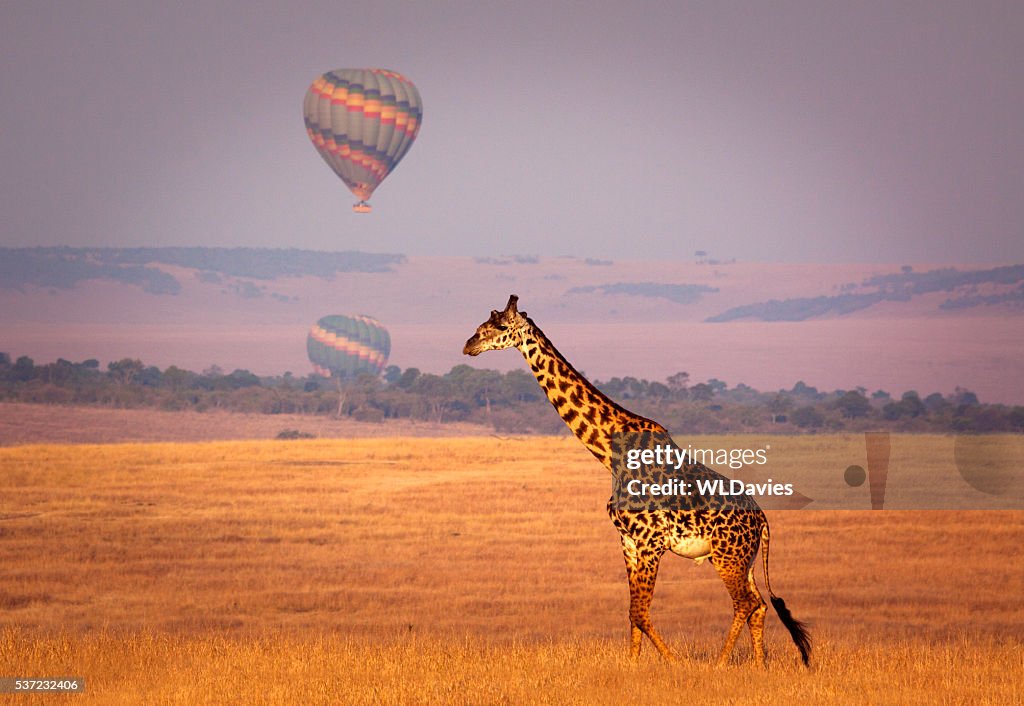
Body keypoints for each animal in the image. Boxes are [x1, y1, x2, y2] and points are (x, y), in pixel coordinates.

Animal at [462, 295, 806, 668]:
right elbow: (632, 613)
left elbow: (640, 612)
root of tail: (763, 520)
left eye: (498, 326)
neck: (611, 452)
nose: (469, 345)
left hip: (727, 556)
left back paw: (718, 663)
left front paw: (674, 663)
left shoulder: (651, 541)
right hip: (743, 559)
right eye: (482, 323)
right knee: (759, 605)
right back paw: (759, 665)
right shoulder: (627, 540)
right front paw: (633, 665)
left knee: (745, 602)